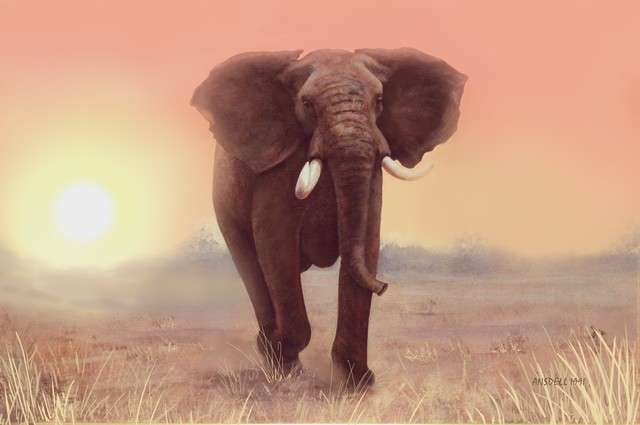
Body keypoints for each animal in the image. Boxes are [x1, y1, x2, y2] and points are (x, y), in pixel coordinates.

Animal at [191, 48, 466, 386]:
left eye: (379, 100)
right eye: (307, 104)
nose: (384, 286)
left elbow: (366, 240)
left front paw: (357, 382)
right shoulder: (280, 166)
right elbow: (275, 242)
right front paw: (287, 361)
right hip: (225, 206)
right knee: (251, 266)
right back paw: (273, 354)